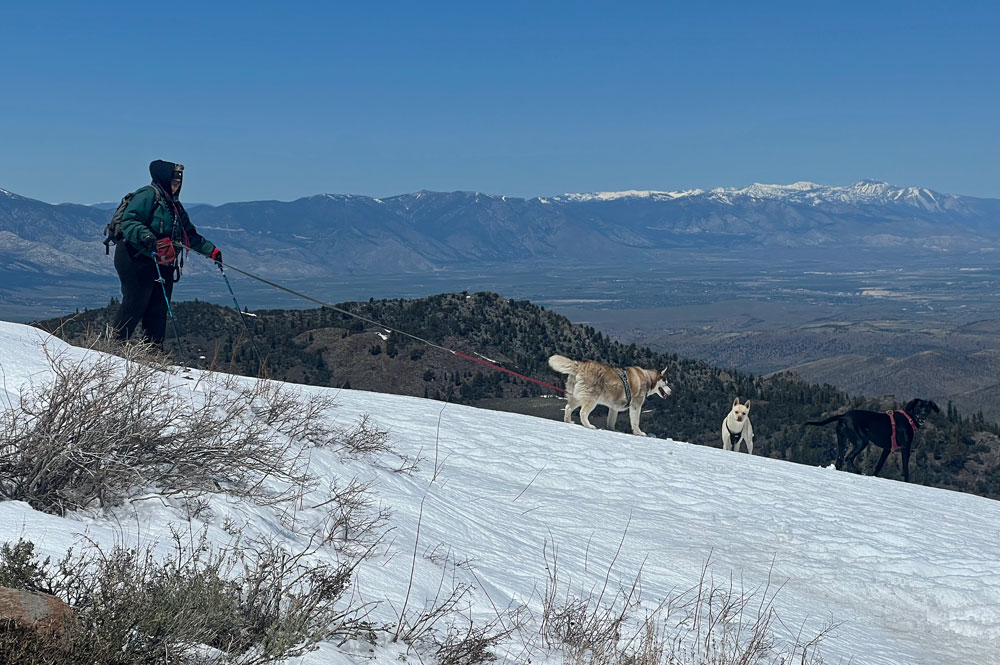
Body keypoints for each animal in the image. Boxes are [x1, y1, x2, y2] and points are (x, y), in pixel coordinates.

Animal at [804, 396, 936, 480]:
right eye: (919, 407)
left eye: (927, 408)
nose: (923, 415)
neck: (909, 418)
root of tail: (844, 416)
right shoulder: (905, 448)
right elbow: (905, 468)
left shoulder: (887, 449)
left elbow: (879, 465)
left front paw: (875, 476)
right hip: (861, 441)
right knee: (848, 458)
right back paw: (860, 473)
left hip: (843, 442)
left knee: (840, 460)